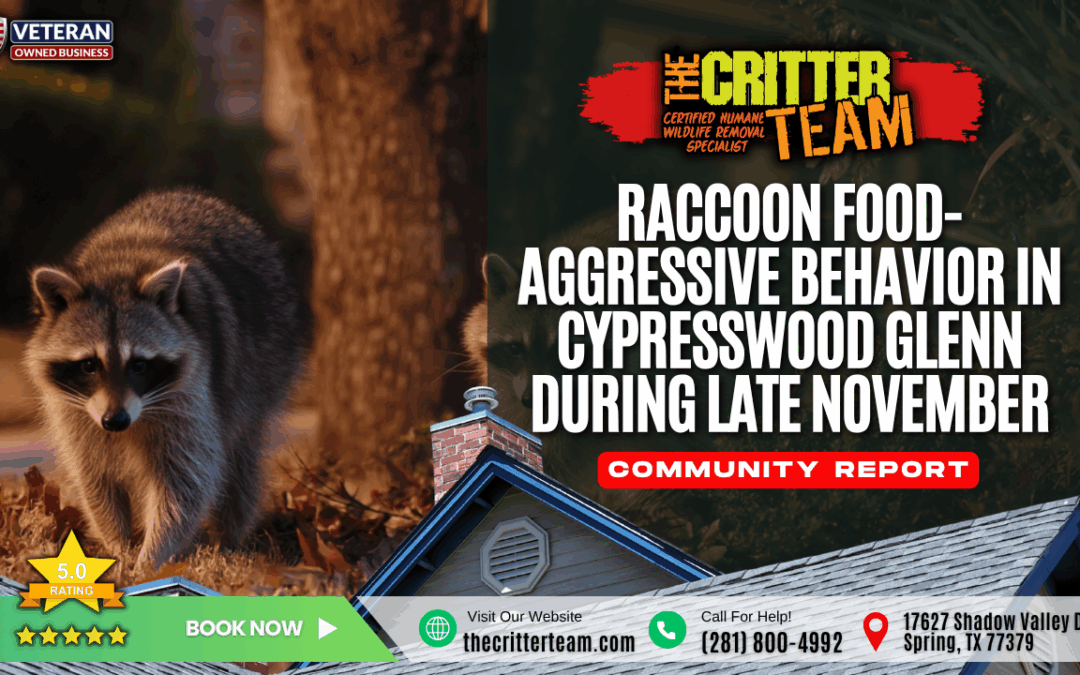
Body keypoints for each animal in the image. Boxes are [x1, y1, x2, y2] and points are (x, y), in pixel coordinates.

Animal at [23, 189, 305, 568]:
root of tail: (188, 195)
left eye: (139, 364)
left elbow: (186, 479)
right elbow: (94, 475)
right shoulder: (74, 407)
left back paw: (228, 538)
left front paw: (149, 559)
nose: (115, 421)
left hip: (266, 361)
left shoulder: (192, 389)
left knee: (239, 461)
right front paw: (118, 547)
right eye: (89, 365)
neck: (116, 268)